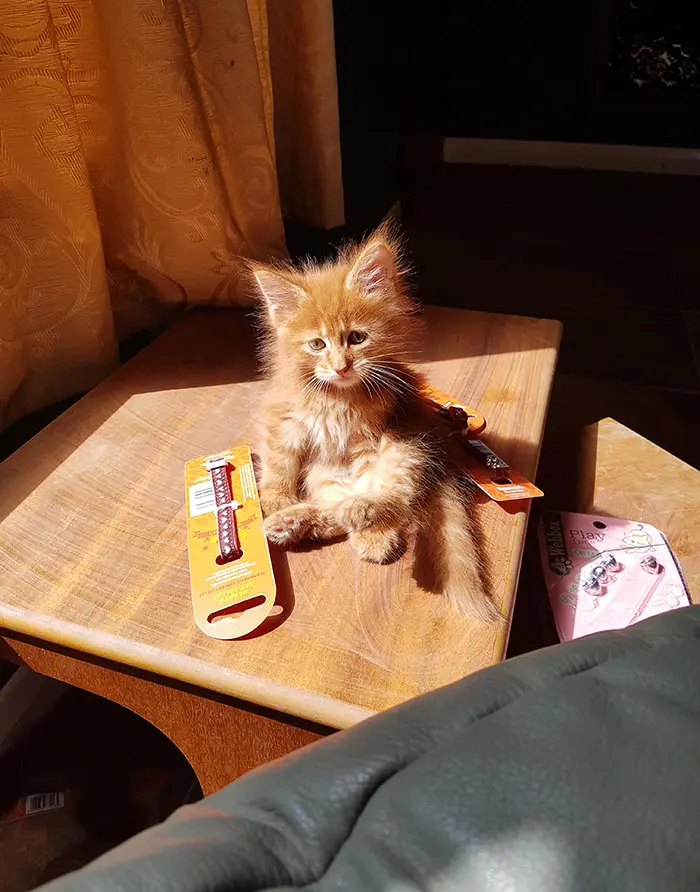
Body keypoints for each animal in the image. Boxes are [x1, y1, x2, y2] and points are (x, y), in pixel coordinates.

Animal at [252, 226, 498, 624]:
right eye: (317, 344)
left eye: (357, 338)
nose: (340, 367)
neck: (337, 398)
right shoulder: (285, 419)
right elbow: (278, 464)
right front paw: (275, 500)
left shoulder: (373, 440)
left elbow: (377, 484)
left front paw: (371, 528)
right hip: (324, 474)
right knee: (334, 509)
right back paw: (292, 521)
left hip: (408, 448)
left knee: (396, 501)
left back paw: (368, 526)